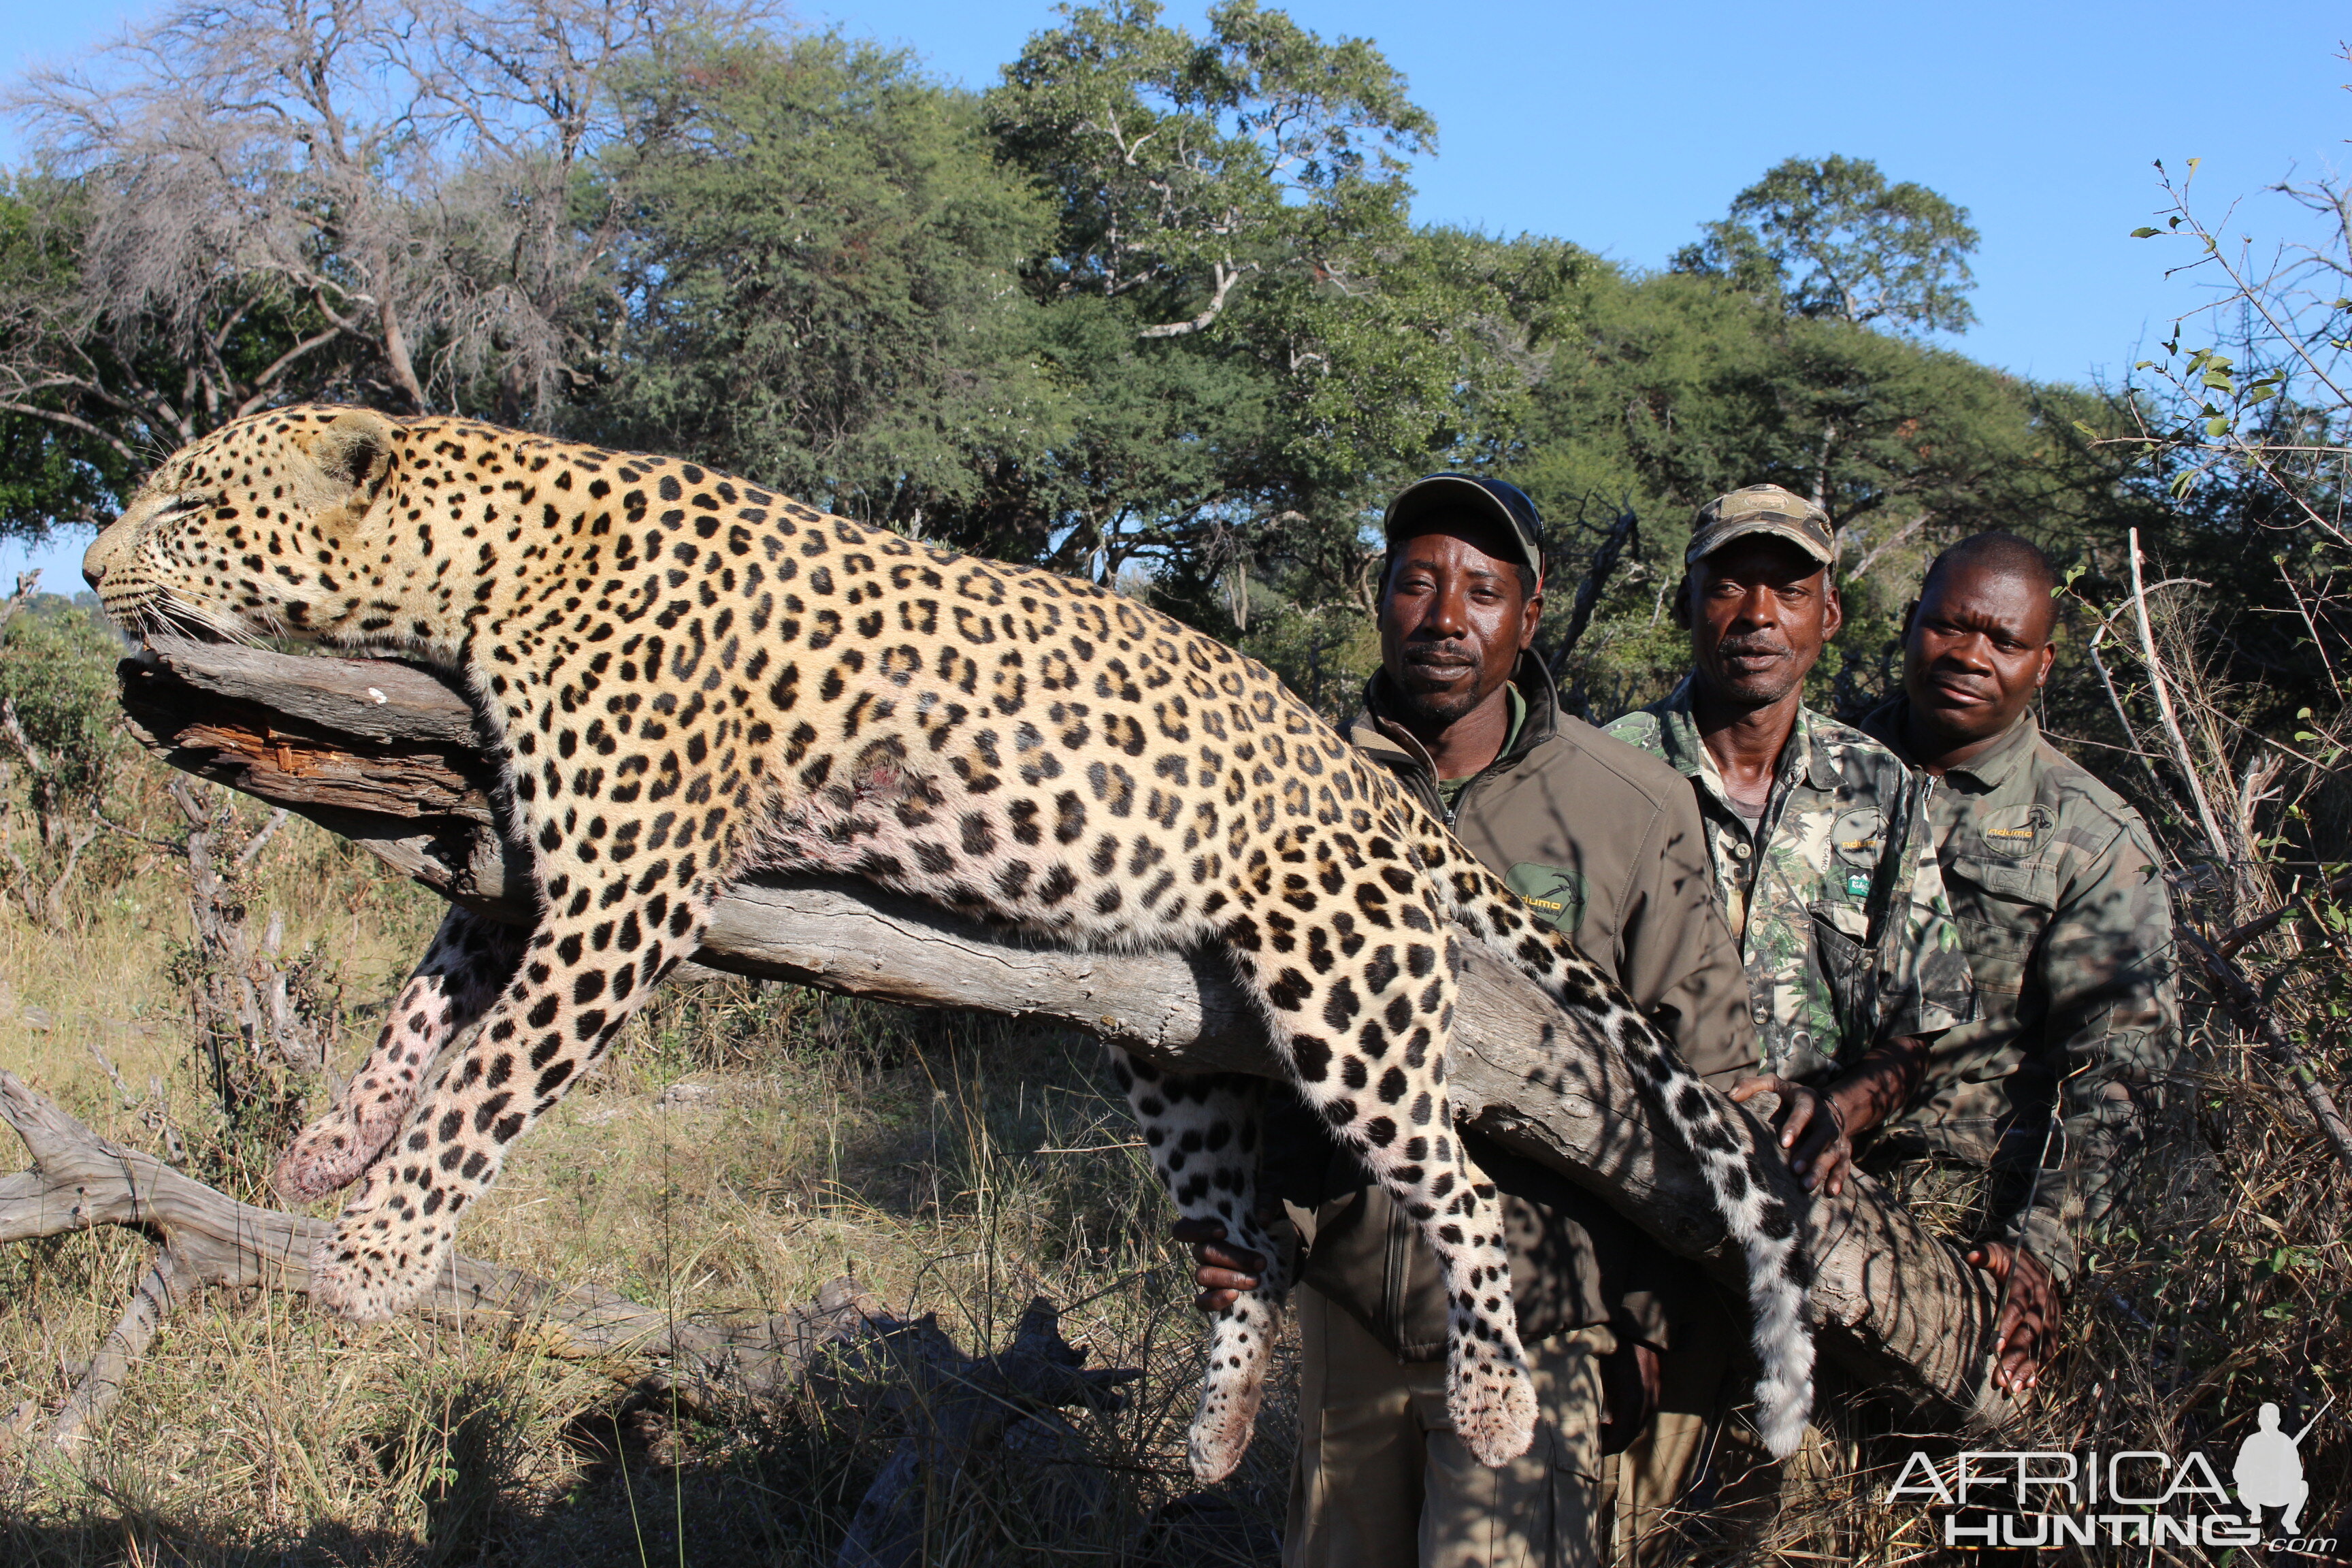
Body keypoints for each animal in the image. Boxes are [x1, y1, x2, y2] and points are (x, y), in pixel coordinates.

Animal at [82, 402, 1816, 1476]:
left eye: (189, 504)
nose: (91, 571)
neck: (484, 565)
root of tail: (1366, 778)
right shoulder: (523, 869)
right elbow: (423, 1019)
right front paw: (328, 1152)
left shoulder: (625, 879)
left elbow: (488, 1084)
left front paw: (374, 1256)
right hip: (1173, 1055)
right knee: (1247, 1241)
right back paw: (1214, 1436)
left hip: (1346, 989)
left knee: (1455, 1190)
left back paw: (1493, 1394)